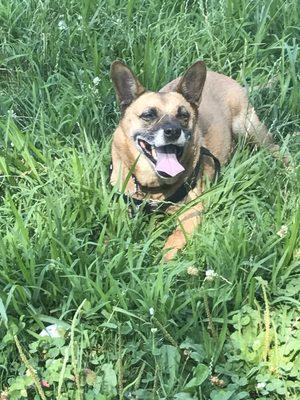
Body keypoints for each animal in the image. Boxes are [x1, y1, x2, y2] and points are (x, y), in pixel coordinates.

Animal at [109, 58, 282, 260]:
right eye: (148, 115)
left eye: (183, 115)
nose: (173, 131)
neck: (153, 187)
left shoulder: (192, 212)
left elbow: (174, 239)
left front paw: (163, 262)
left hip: (248, 129)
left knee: (277, 150)